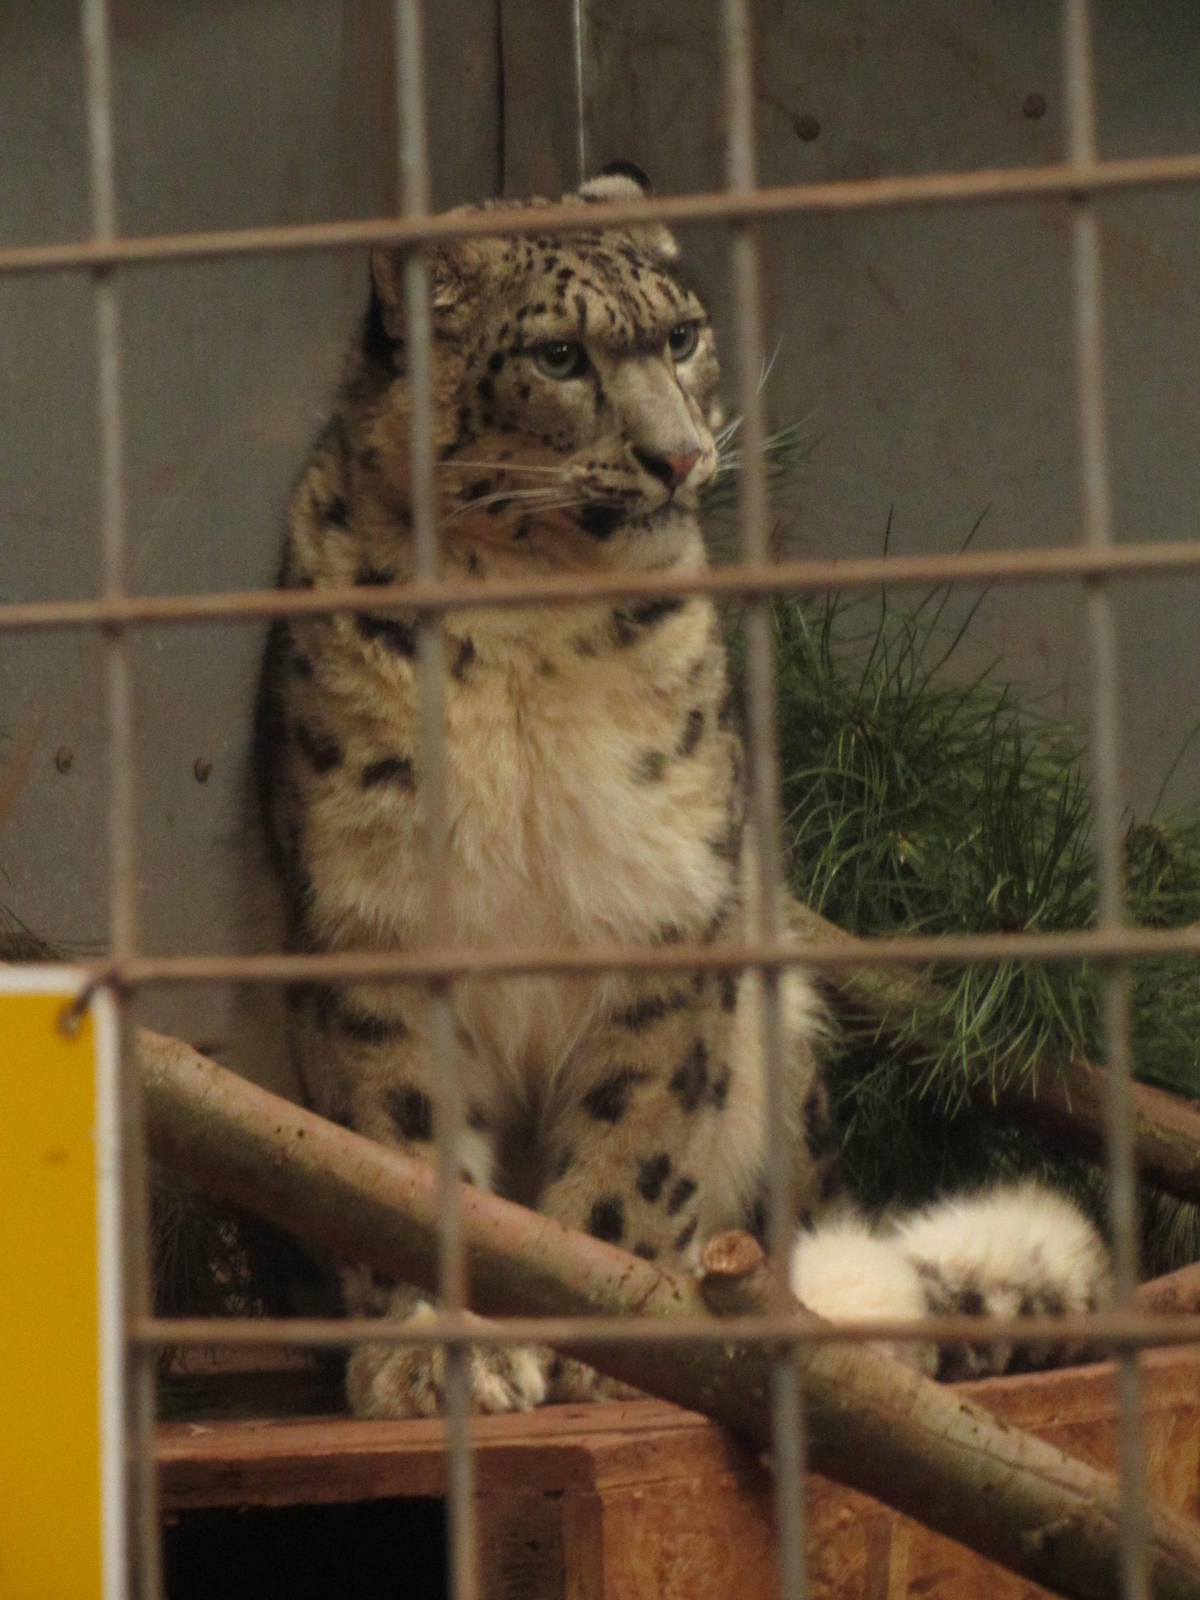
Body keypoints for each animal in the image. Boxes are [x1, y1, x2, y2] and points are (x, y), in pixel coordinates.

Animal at [250, 163, 1109, 1417]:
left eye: (683, 335)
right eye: (560, 355)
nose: (678, 456)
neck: (526, 623)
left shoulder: (664, 904)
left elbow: (633, 1139)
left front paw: (585, 1334)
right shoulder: (379, 917)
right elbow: (399, 1146)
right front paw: (429, 1348)